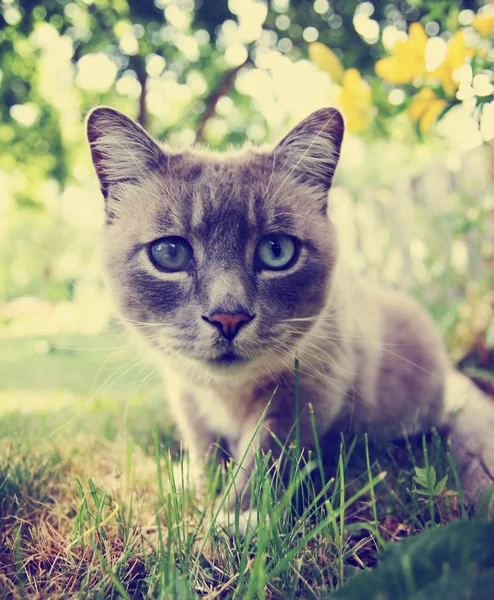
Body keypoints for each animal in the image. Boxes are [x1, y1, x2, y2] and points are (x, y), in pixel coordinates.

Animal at [86, 106, 494, 528]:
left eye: (277, 250)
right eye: (170, 253)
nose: (227, 317)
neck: (226, 393)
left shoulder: (304, 393)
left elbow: (264, 458)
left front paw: (237, 520)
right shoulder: (187, 396)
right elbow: (207, 454)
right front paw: (204, 497)